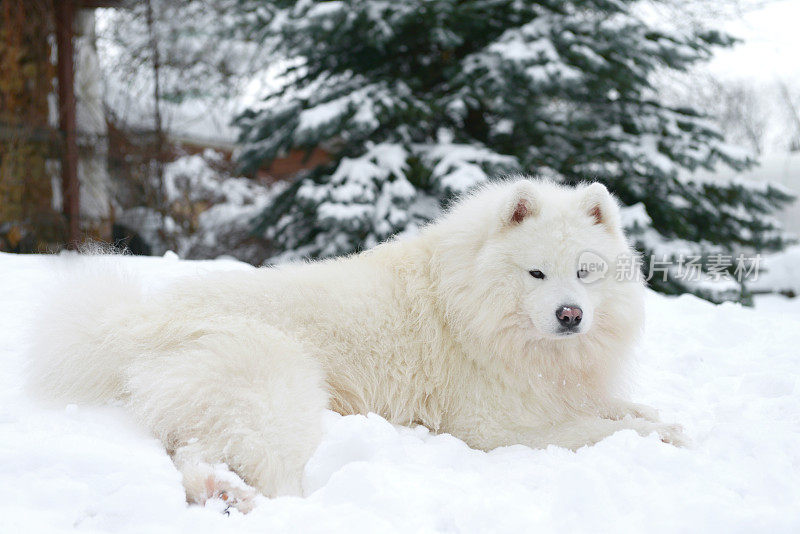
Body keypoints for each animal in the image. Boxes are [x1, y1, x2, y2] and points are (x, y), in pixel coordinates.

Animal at [28, 179, 684, 510]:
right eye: (537, 274)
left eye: (585, 272)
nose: (571, 315)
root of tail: (138, 322)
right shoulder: (496, 428)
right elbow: (591, 431)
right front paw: (655, 434)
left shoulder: (564, 391)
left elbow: (620, 409)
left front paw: (661, 420)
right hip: (280, 391)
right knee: (259, 466)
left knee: (191, 451)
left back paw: (223, 493)